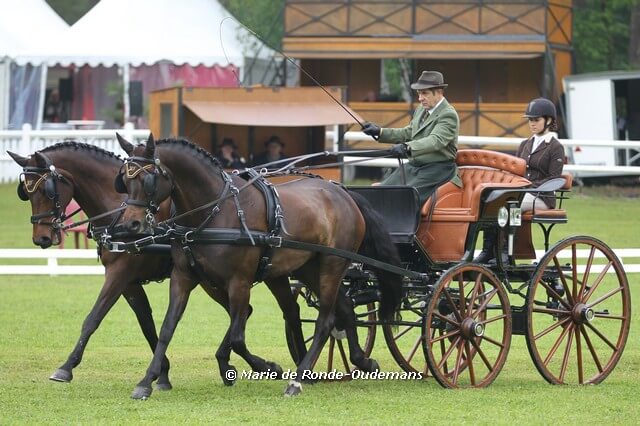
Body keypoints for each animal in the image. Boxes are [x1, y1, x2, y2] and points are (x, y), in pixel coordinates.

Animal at [7, 142, 305, 389]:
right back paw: (230, 366)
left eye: (47, 190)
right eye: (26, 192)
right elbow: (147, 324)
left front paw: (66, 367)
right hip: (218, 280)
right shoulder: (129, 283)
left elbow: (93, 318)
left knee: (264, 312)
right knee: (246, 313)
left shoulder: (119, 274)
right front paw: (162, 374)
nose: (42, 238)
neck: (118, 207)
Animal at [115, 135, 403, 398]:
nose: (131, 224)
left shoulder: (239, 281)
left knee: (325, 321)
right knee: (343, 307)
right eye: (125, 182)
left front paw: (269, 367)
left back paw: (298, 380)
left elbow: (238, 336)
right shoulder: (183, 276)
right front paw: (147, 381)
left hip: (333, 264)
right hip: (308, 267)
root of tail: (343, 192)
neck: (217, 211)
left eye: (147, 180)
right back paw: (360, 361)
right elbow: (167, 328)